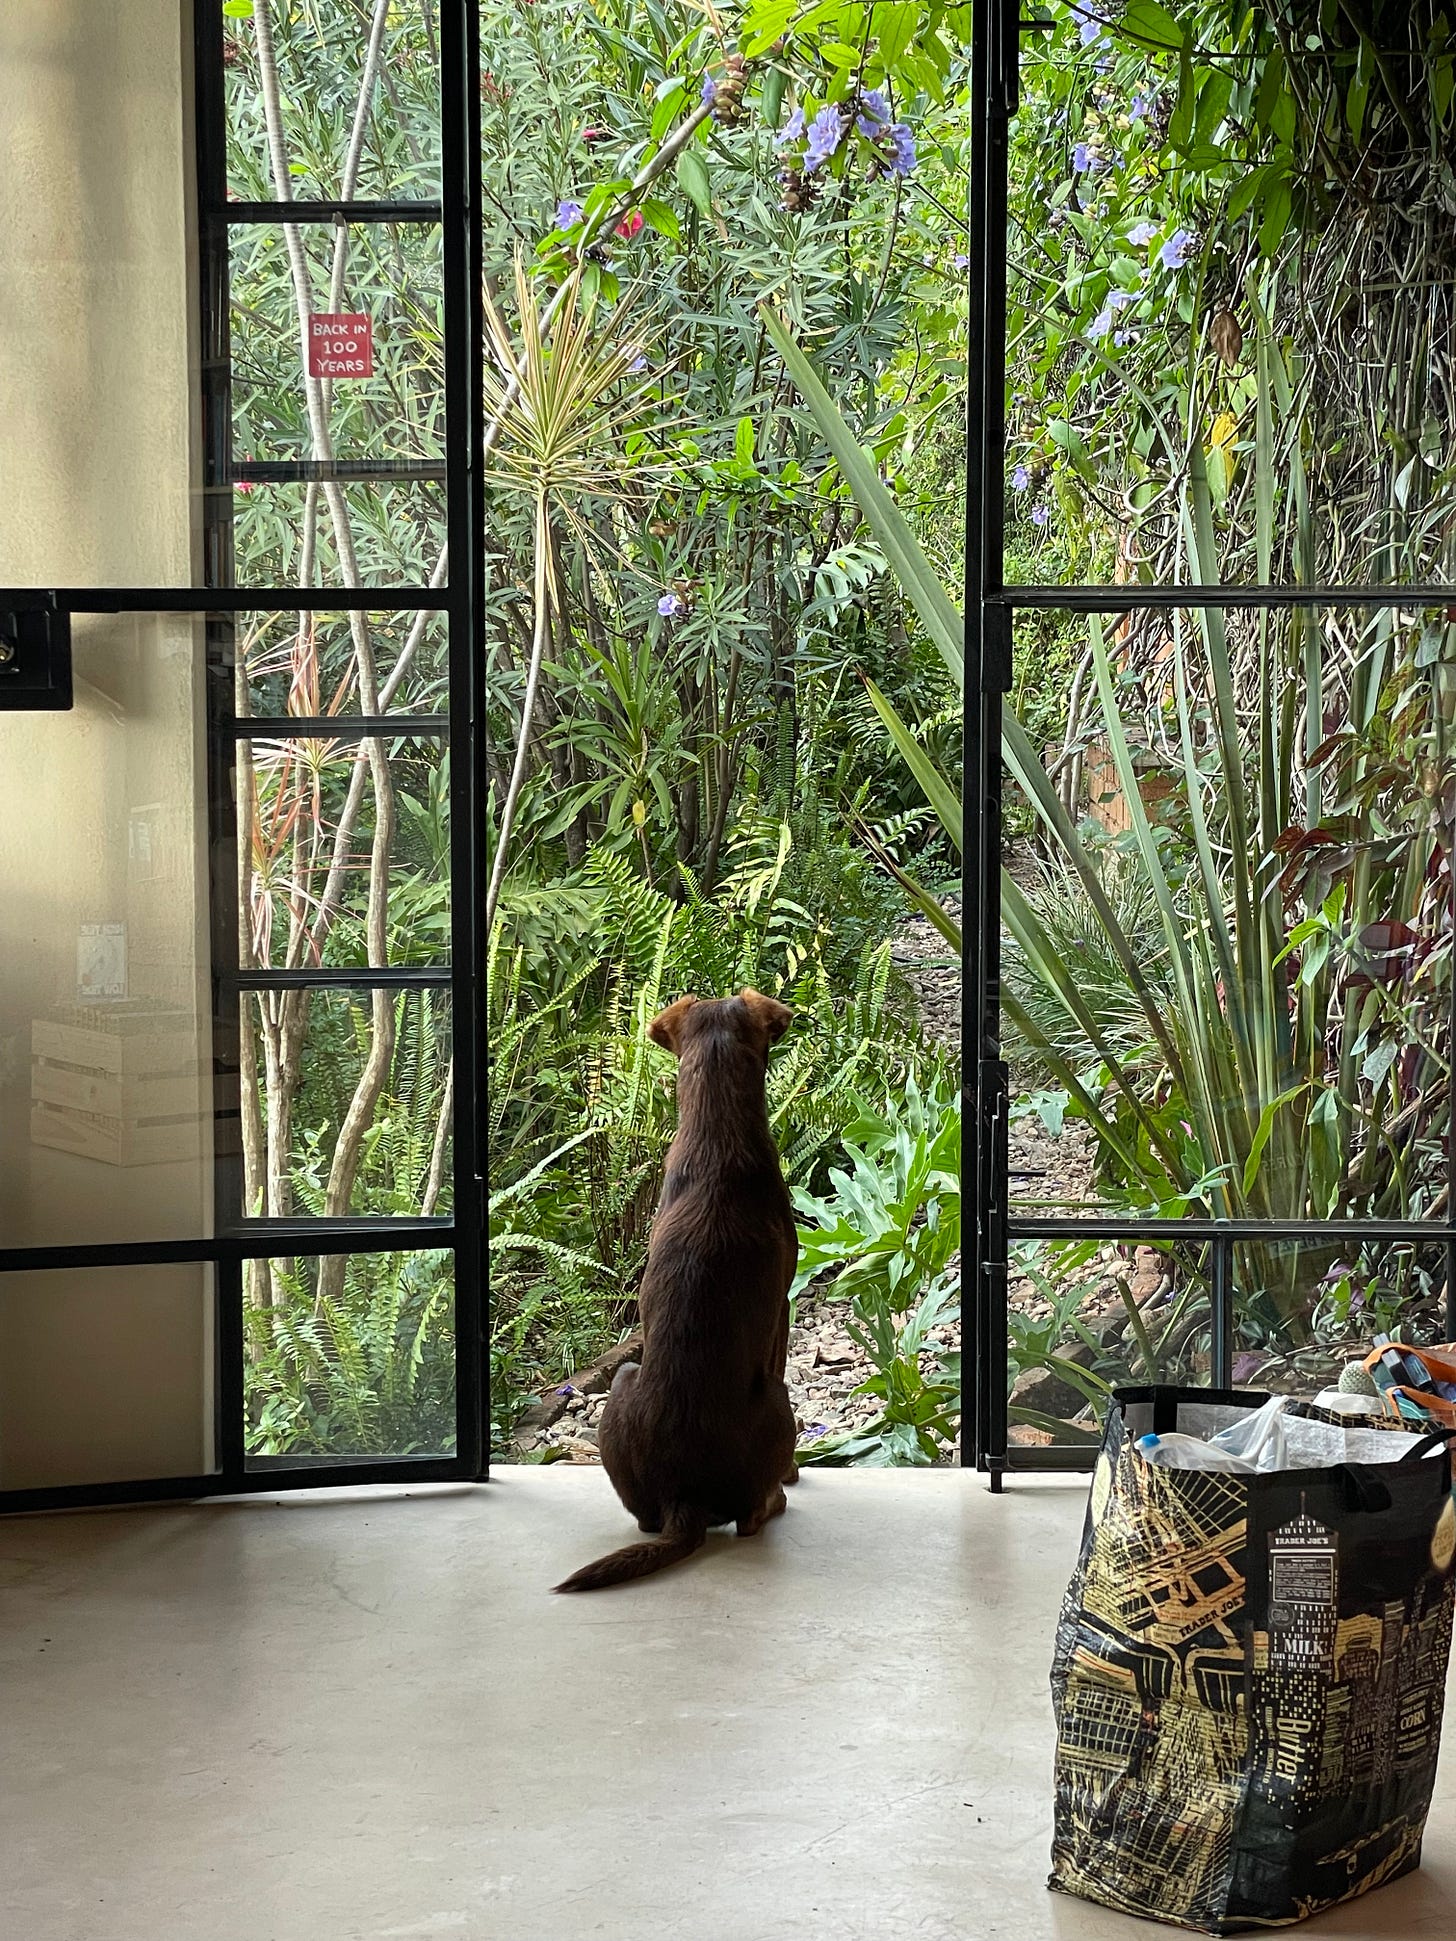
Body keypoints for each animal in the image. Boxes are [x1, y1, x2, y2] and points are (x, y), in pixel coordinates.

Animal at [551, 986, 799, 1591]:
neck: (718, 1133)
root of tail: (684, 1497)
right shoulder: (781, 1311)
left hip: (623, 1380)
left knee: (644, 1519)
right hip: (778, 1400)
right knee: (751, 1518)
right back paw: (776, 1498)